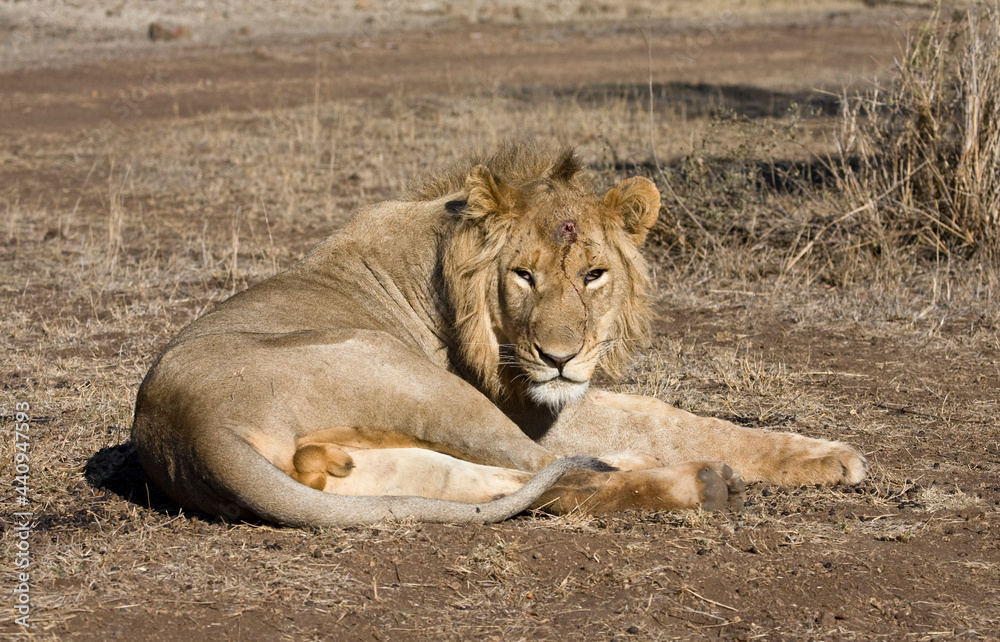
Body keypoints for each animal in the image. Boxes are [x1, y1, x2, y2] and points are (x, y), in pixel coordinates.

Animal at [131, 143, 867, 527]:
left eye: (594, 274)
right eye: (523, 274)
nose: (560, 358)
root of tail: (185, 424)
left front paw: (821, 451)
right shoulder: (532, 400)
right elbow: (666, 420)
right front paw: (829, 456)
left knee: (475, 480)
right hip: (414, 377)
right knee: (550, 473)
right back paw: (699, 482)